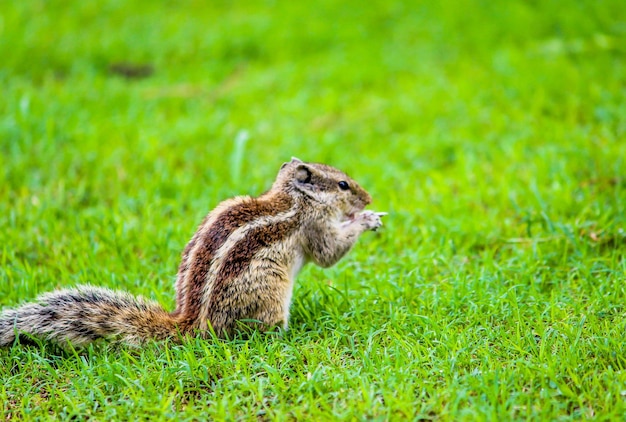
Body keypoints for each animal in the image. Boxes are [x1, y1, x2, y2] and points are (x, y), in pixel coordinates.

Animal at [0, 158, 382, 346]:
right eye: (343, 184)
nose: (368, 198)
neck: (294, 197)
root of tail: (192, 323)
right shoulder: (314, 225)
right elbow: (329, 253)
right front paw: (367, 220)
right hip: (270, 294)